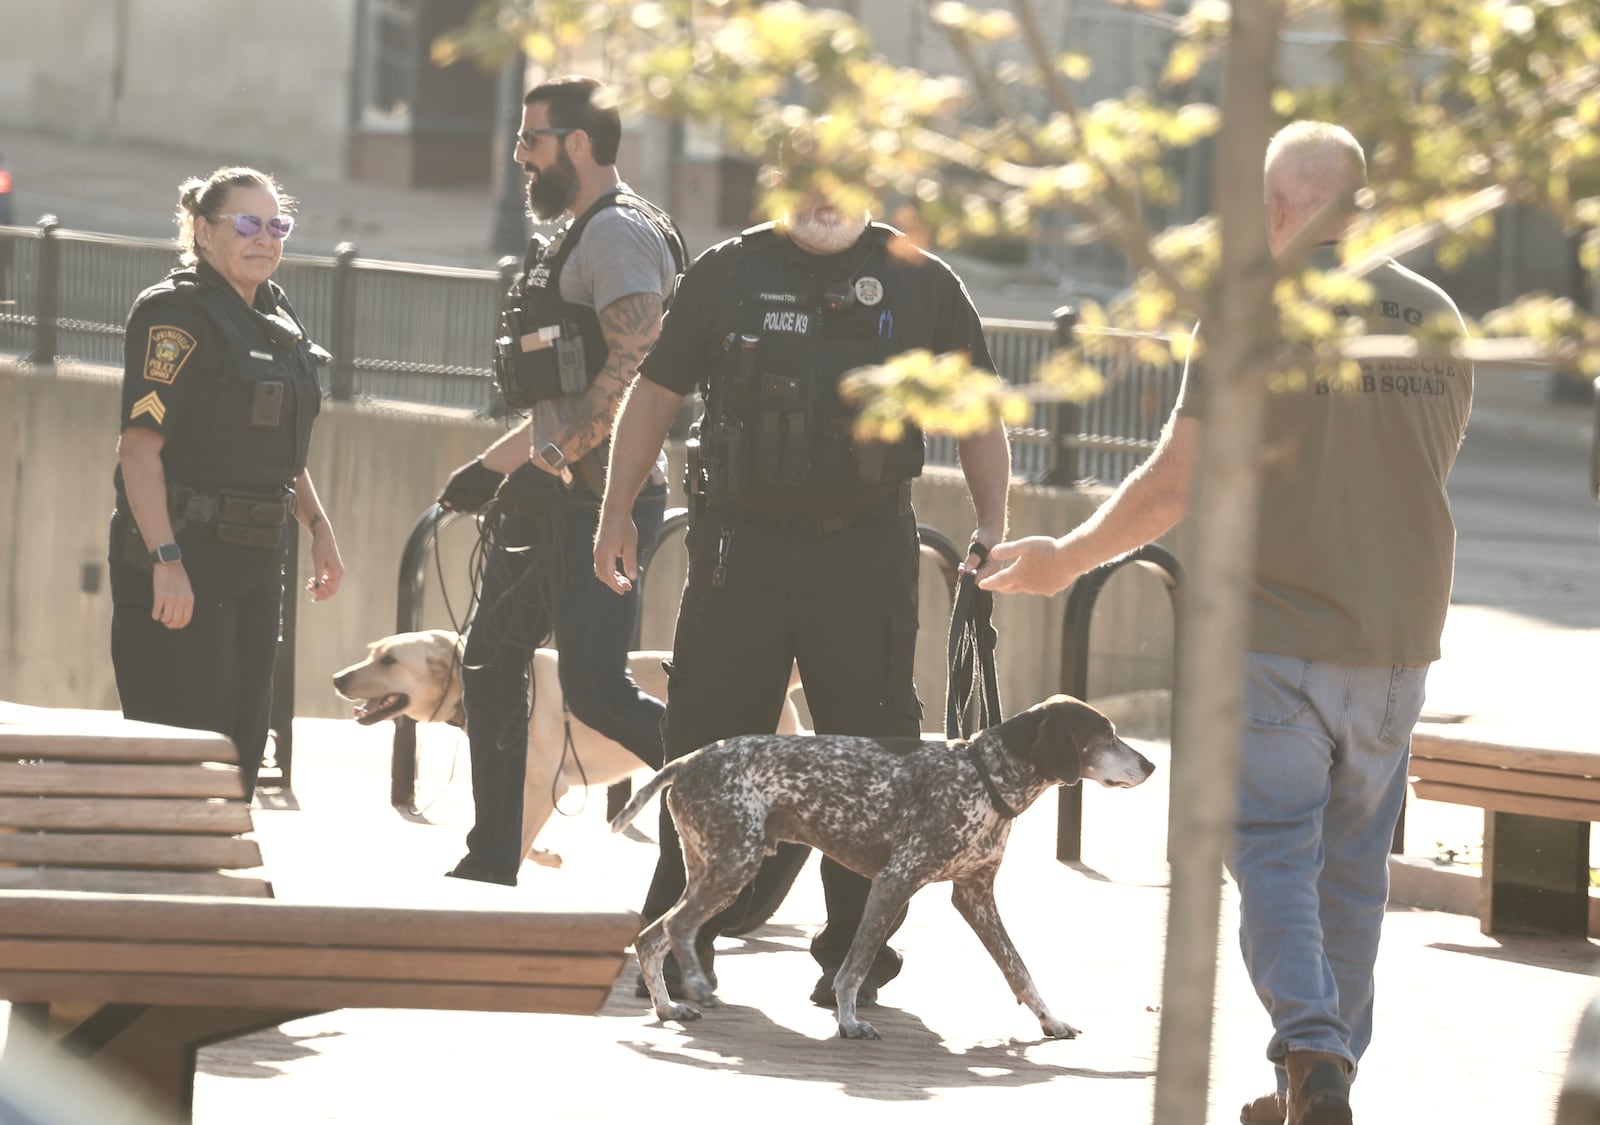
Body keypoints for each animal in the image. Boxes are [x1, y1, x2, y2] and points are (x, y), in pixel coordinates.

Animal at [329, 633, 800, 870]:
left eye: (390, 661)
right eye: (373, 653)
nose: (337, 678)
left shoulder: (545, 784)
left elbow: (516, 837)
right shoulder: (529, 783)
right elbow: (516, 831)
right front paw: (543, 855)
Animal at [608, 694, 1152, 1049]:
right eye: (1106, 734)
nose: (1149, 765)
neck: (985, 775)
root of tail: (686, 760)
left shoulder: (975, 895)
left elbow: (1018, 970)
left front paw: (1051, 1021)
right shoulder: (895, 882)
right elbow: (854, 966)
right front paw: (848, 1023)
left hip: (716, 870)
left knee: (652, 937)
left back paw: (668, 1007)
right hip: (734, 866)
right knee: (676, 928)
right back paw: (694, 987)